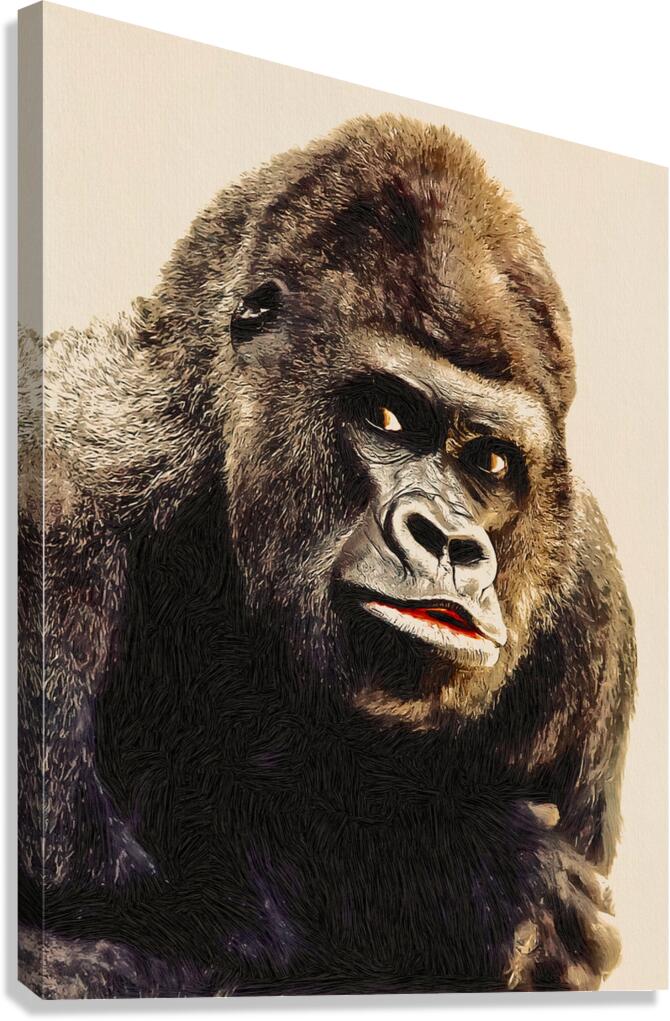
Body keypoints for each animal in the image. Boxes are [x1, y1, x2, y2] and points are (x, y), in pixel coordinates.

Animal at [18, 114, 636, 997]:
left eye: (489, 463)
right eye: (386, 415)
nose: (450, 541)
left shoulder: (589, 596)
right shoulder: (57, 478)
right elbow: (101, 891)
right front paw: (455, 871)